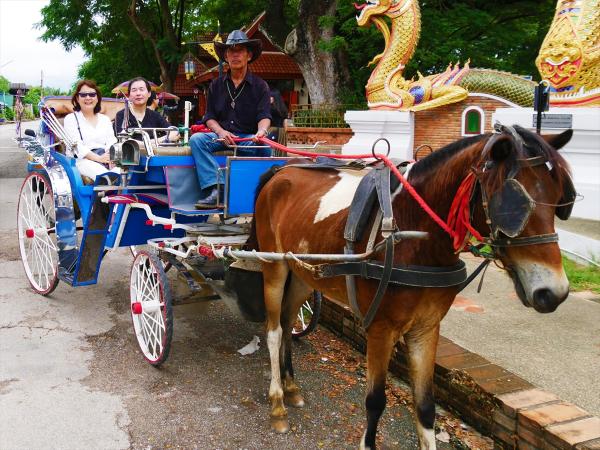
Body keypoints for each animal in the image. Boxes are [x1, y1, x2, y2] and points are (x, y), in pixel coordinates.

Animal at [250, 125, 576, 450]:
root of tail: (281, 170)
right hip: (274, 266)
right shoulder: (380, 328)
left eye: (561, 198)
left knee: (288, 321)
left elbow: (426, 406)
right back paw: (277, 401)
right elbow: (375, 401)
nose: (555, 292)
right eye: (513, 206)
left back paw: (291, 386)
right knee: (274, 331)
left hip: (304, 273)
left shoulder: (426, 328)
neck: (416, 234)